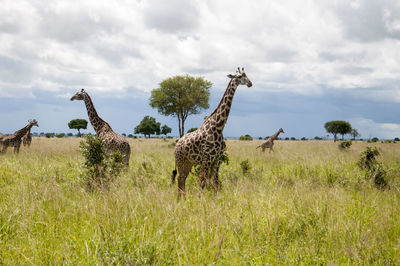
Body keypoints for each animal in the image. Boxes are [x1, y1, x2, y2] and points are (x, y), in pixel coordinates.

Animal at [172, 67, 253, 198]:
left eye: (246, 75)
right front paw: (200, 199)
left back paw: (184, 199)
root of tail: (177, 144)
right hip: (180, 160)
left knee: (182, 179)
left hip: (189, 162)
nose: (250, 83)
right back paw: (180, 199)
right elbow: (202, 181)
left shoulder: (217, 159)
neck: (219, 128)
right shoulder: (207, 158)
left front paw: (216, 199)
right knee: (180, 179)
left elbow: (215, 181)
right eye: (239, 76)